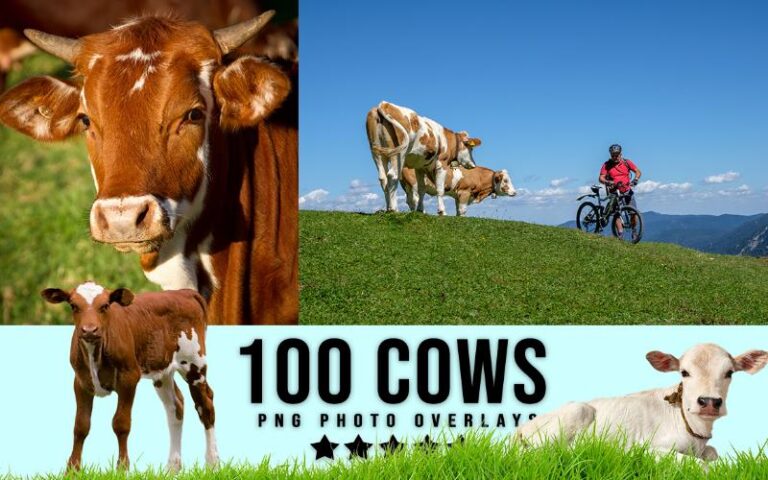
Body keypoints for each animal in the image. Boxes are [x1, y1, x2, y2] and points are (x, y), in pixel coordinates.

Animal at [42, 282, 216, 471]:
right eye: (73, 306)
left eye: (105, 306)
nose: (89, 330)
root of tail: (184, 292)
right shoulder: (81, 382)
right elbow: (81, 425)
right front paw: (72, 469)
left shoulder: (129, 378)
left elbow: (121, 423)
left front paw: (122, 468)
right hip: (162, 372)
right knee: (176, 406)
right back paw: (172, 467)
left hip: (194, 364)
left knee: (206, 406)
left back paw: (213, 463)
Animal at [515, 344, 768, 461]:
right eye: (684, 372)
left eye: (729, 373)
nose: (708, 402)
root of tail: (519, 429)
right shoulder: (648, 448)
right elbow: (700, 466)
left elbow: (713, 454)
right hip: (577, 411)